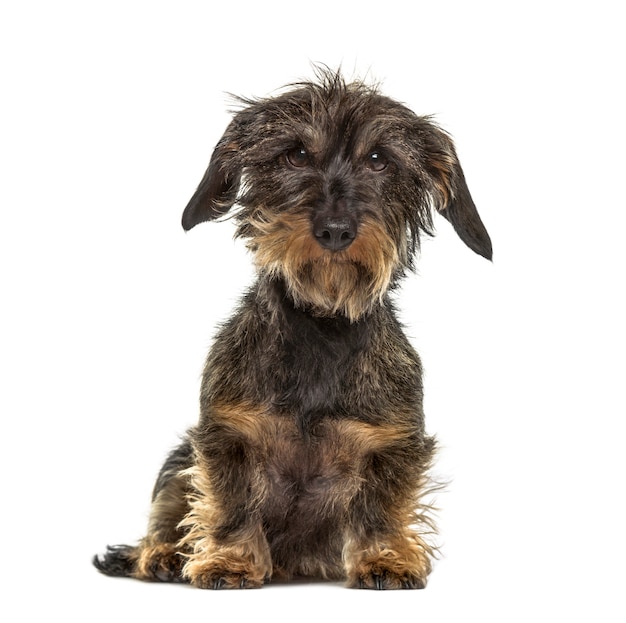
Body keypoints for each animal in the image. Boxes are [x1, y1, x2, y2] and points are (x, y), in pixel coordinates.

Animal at [94, 68, 492, 588]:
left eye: (379, 160)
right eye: (297, 154)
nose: (335, 230)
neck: (321, 325)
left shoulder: (391, 442)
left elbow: (381, 506)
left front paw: (385, 558)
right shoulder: (228, 434)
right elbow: (231, 503)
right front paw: (229, 559)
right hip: (180, 459)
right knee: (168, 512)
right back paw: (161, 556)